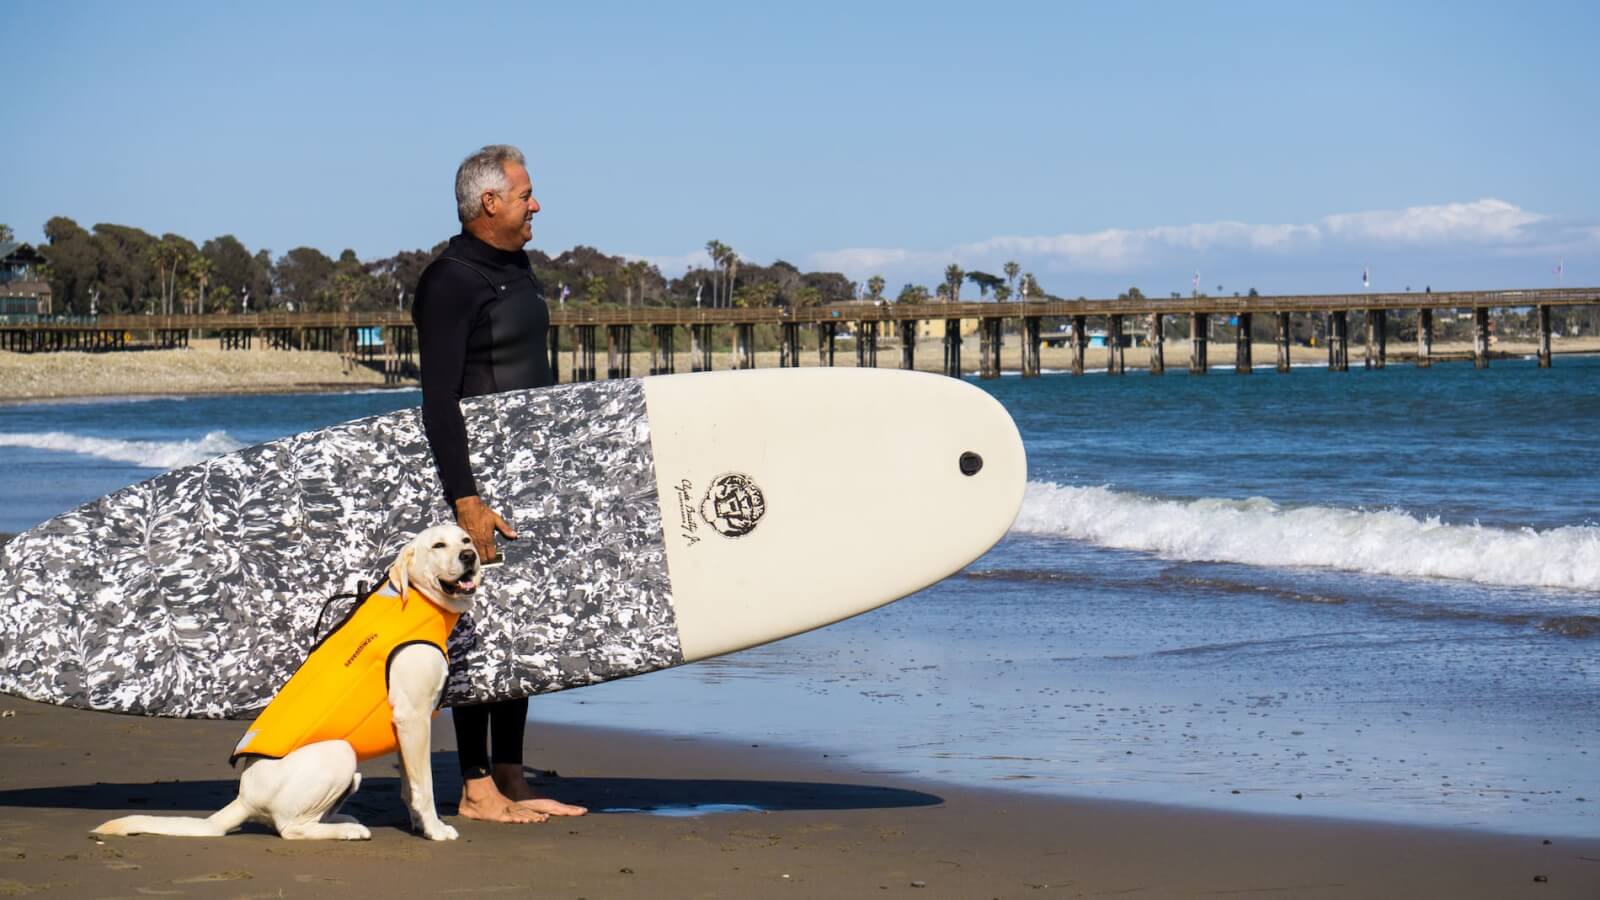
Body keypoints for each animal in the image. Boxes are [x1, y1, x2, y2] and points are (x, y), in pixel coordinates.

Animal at [92, 522, 476, 839]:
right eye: (438, 545)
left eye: (466, 540)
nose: (470, 556)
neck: (419, 600)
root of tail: (244, 798)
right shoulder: (413, 717)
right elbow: (423, 784)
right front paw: (435, 829)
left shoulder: (403, 726)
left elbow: (409, 786)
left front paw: (418, 824)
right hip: (338, 754)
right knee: (290, 828)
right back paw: (345, 831)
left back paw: (342, 821)